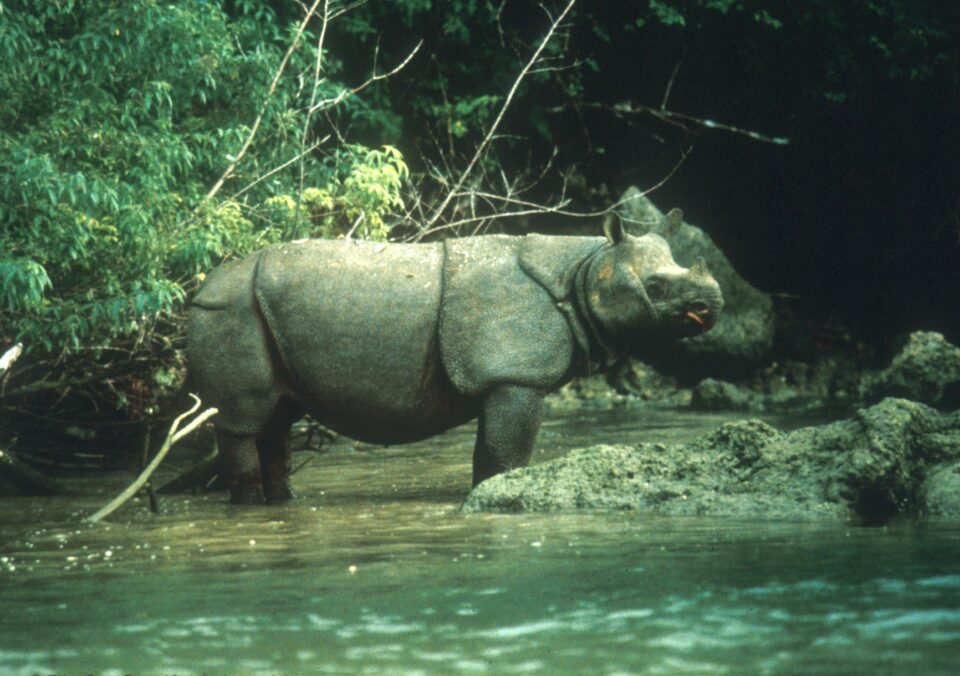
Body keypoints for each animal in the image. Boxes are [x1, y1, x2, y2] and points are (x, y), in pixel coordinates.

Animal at [187, 218, 723, 504]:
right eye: (656, 288)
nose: (712, 304)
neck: (586, 269)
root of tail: (199, 289)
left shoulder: (505, 380)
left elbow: (490, 454)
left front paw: (485, 494)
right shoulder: (516, 377)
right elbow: (508, 452)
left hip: (253, 312)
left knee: (276, 418)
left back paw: (282, 503)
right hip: (229, 312)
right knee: (242, 420)